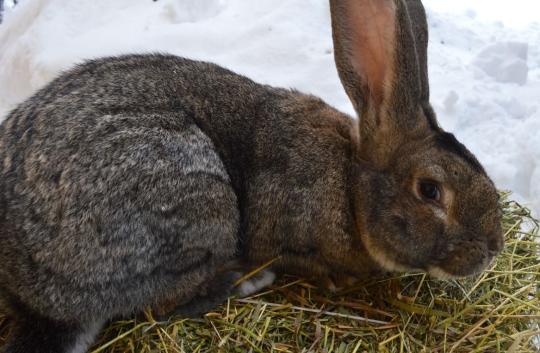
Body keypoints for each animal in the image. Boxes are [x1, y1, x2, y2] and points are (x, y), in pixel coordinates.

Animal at [1, 0, 506, 352]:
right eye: (430, 191)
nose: (493, 248)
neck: (349, 185)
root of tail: (40, 295)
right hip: (196, 197)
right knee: (164, 302)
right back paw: (247, 281)